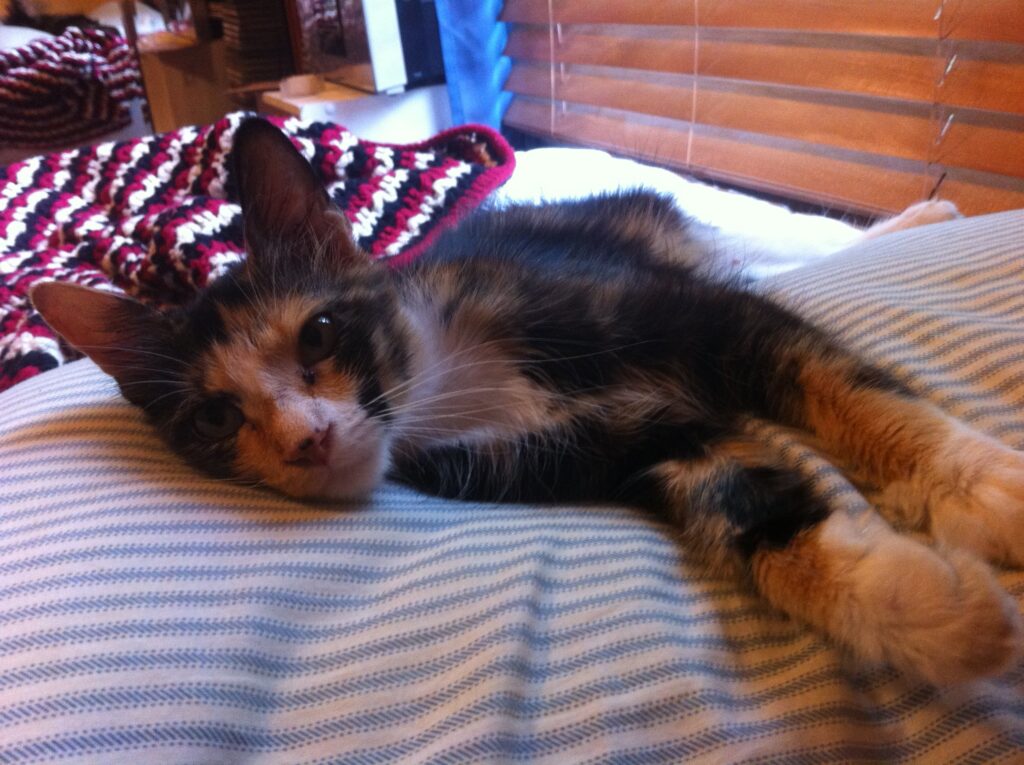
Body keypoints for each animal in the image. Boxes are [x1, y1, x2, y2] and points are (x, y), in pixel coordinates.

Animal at [29, 121, 1024, 688]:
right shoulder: (639, 443)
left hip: (651, 229)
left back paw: (920, 219)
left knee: (781, 246)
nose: (305, 440)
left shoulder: (695, 317)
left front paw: (979, 490)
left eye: (319, 333)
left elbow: (844, 386)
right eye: (216, 418)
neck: (448, 375)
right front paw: (929, 614)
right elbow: (751, 509)